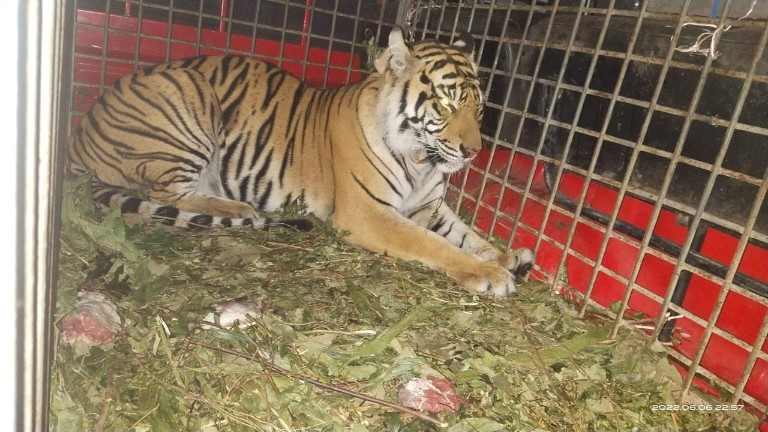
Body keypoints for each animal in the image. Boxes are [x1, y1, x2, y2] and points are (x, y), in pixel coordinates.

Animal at [69, 27, 535, 296]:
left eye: (479, 108)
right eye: (445, 103)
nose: (474, 152)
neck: (421, 160)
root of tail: (80, 128)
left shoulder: (430, 207)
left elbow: (468, 235)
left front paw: (507, 256)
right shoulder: (369, 214)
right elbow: (432, 244)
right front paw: (491, 274)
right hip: (188, 93)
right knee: (169, 193)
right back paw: (240, 208)